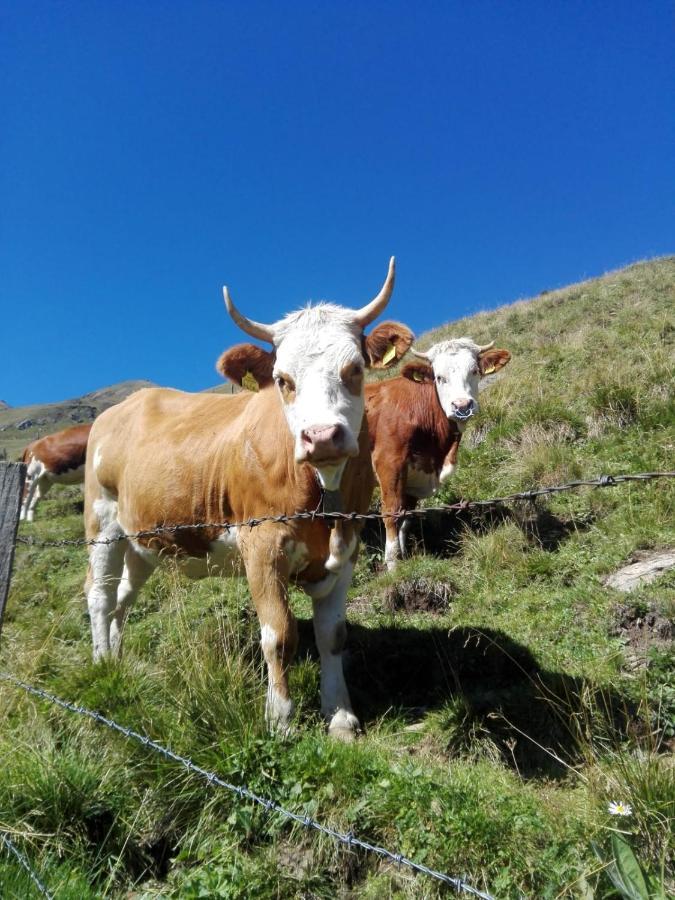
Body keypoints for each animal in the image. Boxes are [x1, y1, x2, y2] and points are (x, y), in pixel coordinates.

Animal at [84, 258, 412, 740]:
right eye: (282, 380)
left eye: (354, 369)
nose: (321, 436)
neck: (323, 493)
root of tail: (122, 406)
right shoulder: (261, 545)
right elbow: (278, 635)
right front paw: (280, 718)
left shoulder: (348, 545)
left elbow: (332, 636)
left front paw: (340, 716)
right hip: (102, 525)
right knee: (100, 595)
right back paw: (102, 662)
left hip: (142, 540)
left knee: (124, 596)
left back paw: (120, 657)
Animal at [368, 338, 510, 568]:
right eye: (439, 377)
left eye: (474, 371)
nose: (462, 405)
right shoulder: (388, 463)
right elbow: (392, 513)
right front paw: (393, 565)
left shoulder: (414, 474)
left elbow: (406, 518)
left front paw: (404, 556)